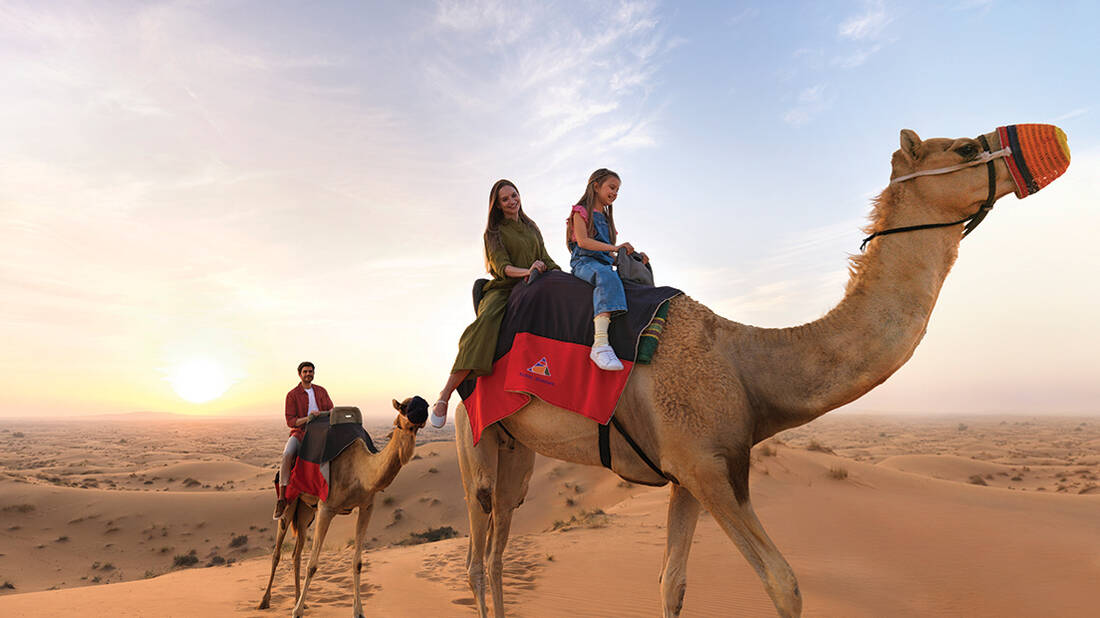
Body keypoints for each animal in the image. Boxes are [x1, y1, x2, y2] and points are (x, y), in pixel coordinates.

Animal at [258, 396, 428, 617]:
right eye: (404, 407)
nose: (424, 408)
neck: (359, 470)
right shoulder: (326, 508)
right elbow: (312, 565)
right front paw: (297, 612)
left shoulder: (366, 507)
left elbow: (358, 562)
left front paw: (359, 611)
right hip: (290, 501)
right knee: (278, 550)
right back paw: (265, 601)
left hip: (306, 510)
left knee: (297, 552)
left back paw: (297, 600)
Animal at [455, 125, 1070, 617]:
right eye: (966, 147)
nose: (1057, 140)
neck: (746, 364)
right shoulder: (706, 467)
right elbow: (784, 583)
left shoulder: (691, 470)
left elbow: (672, 583)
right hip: (474, 436)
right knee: (478, 552)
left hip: (518, 449)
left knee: (500, 541)